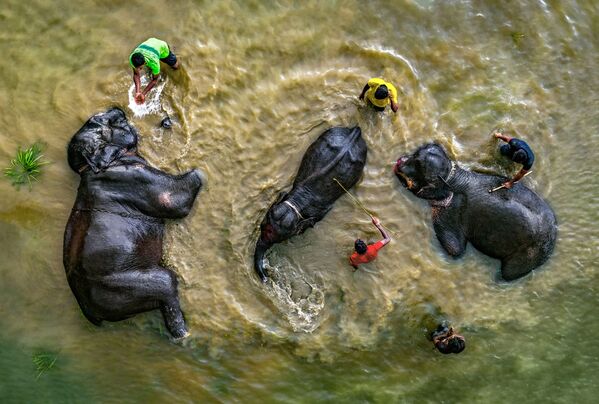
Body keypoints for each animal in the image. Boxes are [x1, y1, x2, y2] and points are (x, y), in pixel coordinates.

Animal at [63, 106, 204, 338]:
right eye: (107, 123)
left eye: (95, 120)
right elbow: (176, 200)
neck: (90, 167)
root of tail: (89, 310)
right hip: (130, 284)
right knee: (167, 283)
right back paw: (183, 335)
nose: (116, 109)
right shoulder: (135, 177)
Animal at [252, 125, 366, 280]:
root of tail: (355, 130)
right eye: (262, 226)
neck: (297, 202)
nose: (266, 277)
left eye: (278, 239)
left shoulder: (319, 211)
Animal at [394, 143, 556, 280]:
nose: (399, 161)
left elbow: (455, 249)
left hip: (528, 254)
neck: (452, 176)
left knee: (508, 274)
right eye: (418, 150)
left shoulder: (453, 209)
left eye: (419, 164)